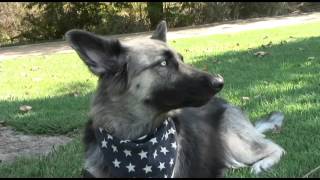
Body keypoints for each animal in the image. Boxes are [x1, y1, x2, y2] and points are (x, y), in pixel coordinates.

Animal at [65, 20, 284, 178]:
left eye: (182, 59)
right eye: (163, 63)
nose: (220, 81)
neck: (136, 138)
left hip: (235, 142)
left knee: (276, 148)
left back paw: (261, 165)